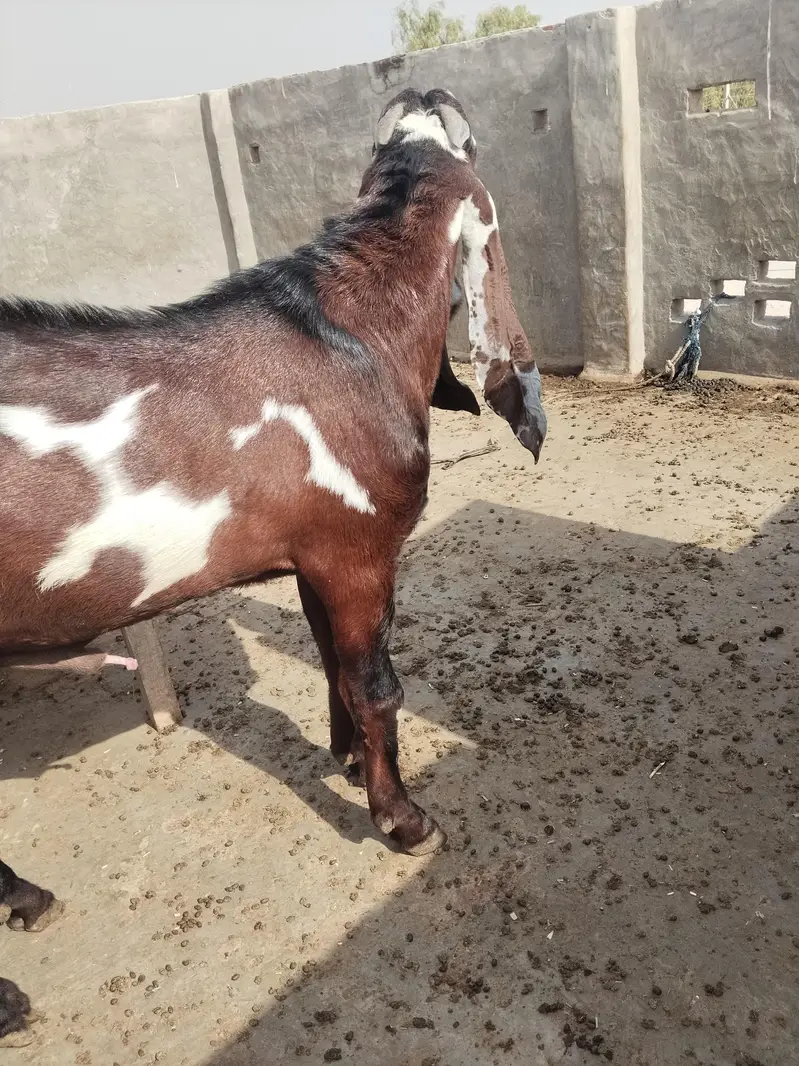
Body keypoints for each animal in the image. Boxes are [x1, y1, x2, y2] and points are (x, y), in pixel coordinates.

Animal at [0, 87, 545, 860]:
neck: (351, 334)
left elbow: (332, 663)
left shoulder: (314, 556)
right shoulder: (357, 554)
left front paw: (348, 759)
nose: (425, 91)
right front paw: (402, 819)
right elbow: (375, 686)